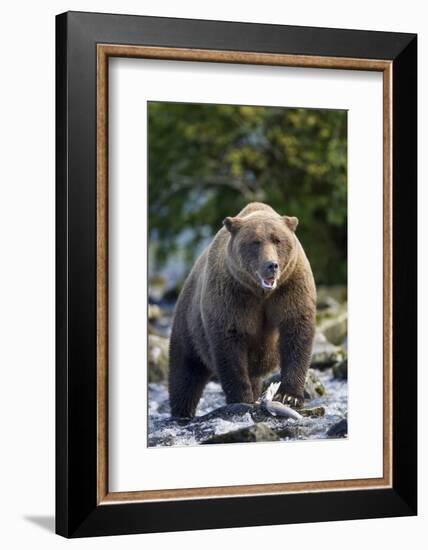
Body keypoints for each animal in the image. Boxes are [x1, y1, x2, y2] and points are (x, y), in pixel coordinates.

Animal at [169, 203, 316, 418]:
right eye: (255, 242)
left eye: (277, 240)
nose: (271, 265)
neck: (261, 292)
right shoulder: (232, 295)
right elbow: (230, 343)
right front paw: (241, 398)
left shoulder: (290, 287)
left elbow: (296, 331)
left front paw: (290, 396)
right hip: (188, 325)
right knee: (185, 372)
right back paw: (182, 411)